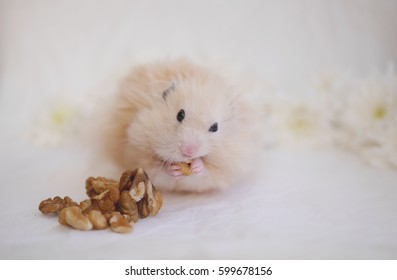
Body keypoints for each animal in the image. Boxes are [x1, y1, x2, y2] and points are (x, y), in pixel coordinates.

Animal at [100, 58, 258, 191]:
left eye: (215, 127)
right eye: (180, 115)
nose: (188, 152)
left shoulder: (227, 168)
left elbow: (207, 172)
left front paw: (197, 166)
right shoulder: (138, 149)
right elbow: (156, 167)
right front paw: (173, 169)